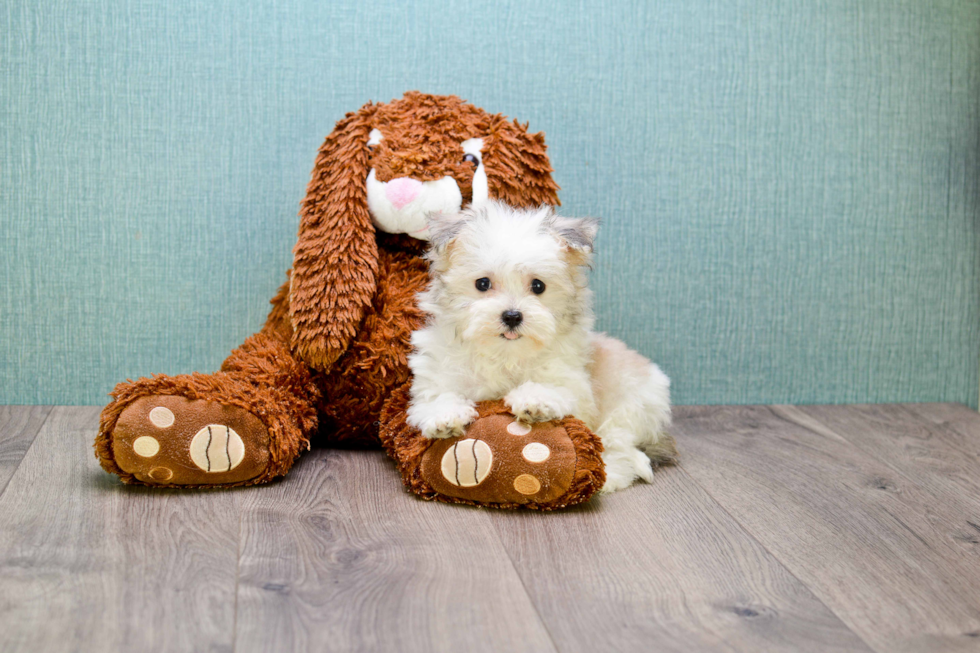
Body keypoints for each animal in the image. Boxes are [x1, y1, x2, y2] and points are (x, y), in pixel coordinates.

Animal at [404, 201, 672, 492]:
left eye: (538, 286)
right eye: (482, 283)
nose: (512, 316)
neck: (505, 355)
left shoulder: (575, 386)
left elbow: (557, 390)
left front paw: (534, 399)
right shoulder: (438, 373)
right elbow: (438, 395)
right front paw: (444, 415)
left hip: (630, 407)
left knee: (621, 449)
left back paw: (609, 476)